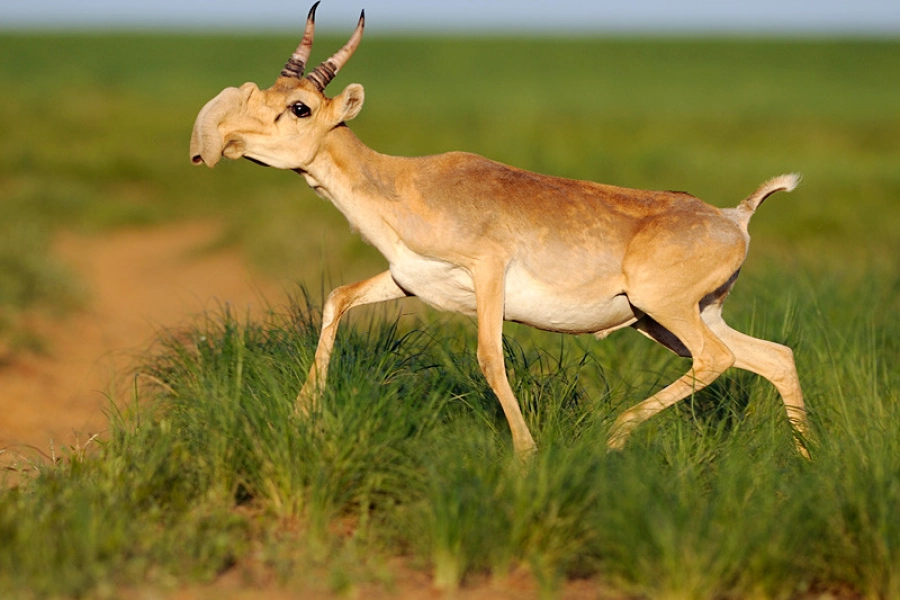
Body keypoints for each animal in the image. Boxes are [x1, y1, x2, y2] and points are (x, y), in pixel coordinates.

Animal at [188, 4, 808, 458]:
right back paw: (804, 462)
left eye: (299, 108)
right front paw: (302, 416)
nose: (220, 142)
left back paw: (614, 435)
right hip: (674, 318)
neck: (405, 182)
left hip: (664, 311)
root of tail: (734, 217)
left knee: (718, 360)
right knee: (774, 357)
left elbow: (490, 357)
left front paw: (527, 455)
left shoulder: (487, 273)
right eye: (265, 94)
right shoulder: (407, 280)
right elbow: (337, 298)